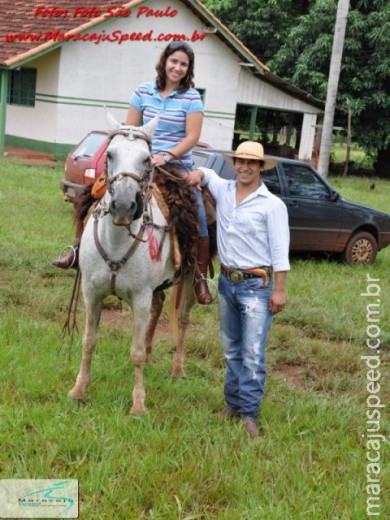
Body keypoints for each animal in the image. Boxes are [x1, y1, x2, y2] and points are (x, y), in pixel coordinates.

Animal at [68, 118, 198, 414]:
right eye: (110, 154)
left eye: (146, 158)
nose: (124, 206)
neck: (117, 240)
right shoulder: (91, 292)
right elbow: (88, 340)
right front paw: (79, 390)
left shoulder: (140, 298)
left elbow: (135, 352)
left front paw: (138, 404)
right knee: (160, 305)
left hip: (190, 277)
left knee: (183, 319)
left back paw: (178, 370)